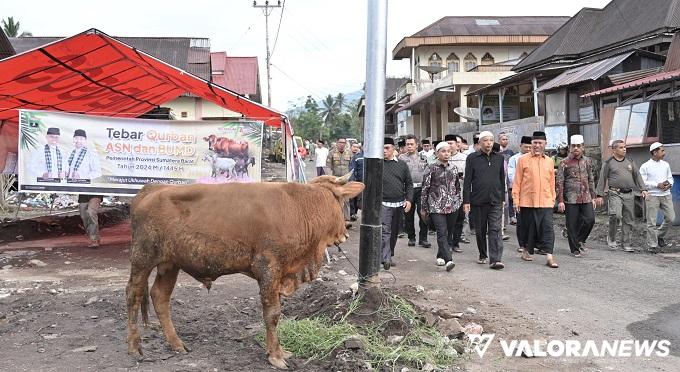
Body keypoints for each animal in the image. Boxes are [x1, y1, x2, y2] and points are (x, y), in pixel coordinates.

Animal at [125, 174, 364, 370]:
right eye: (342, 201)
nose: (345, 233)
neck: (300, 207)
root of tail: (154, 188)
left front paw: (280, 351)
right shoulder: (268, 268)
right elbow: (273, 314)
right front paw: (275, 356)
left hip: (169, 264)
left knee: (160, 297)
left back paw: (176, 344)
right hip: (142, 258)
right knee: (133, 295)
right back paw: (135, 346)